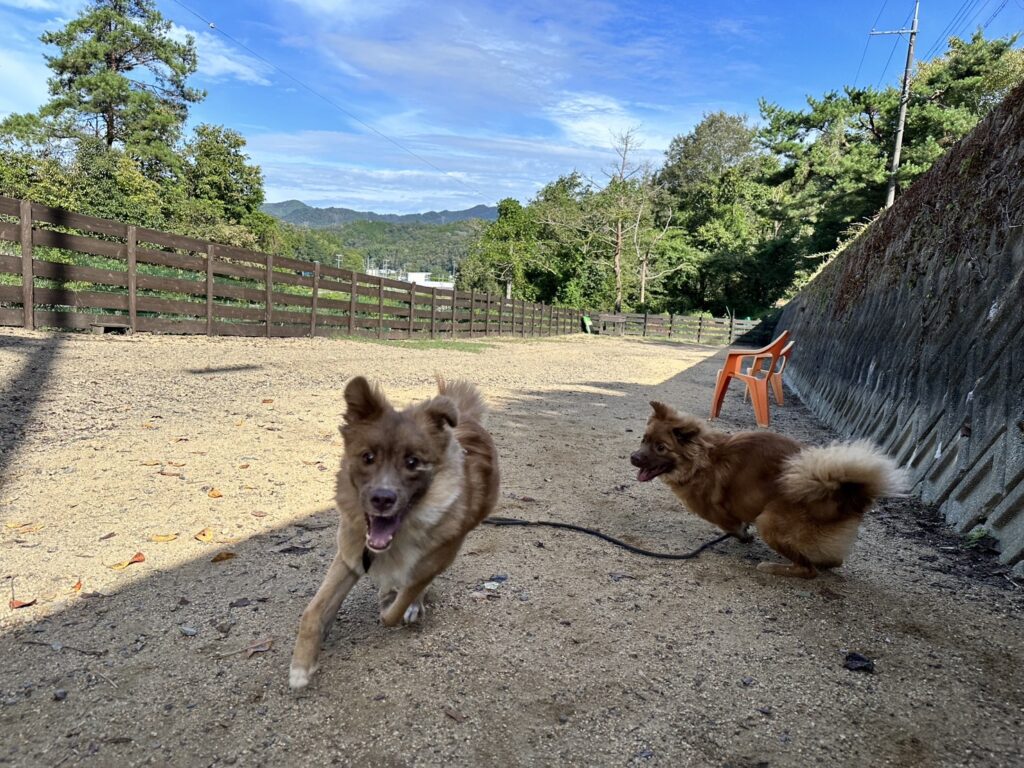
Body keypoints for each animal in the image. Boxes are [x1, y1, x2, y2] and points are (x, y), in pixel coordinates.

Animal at [289, 376, 499, 689]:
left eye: (412, 462)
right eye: (368, 457)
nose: (382, 498)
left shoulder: (433, 561)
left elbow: (399, 605)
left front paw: (398, 605)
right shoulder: (350, 556)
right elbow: (313, 610)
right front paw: (302, 665)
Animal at [630, 401, 904, 578]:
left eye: (661, 447)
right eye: (644, 440)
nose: (633, 458)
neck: (702, 460)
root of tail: (845, 495)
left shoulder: (719, 513)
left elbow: (734, 526)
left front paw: (743, 536)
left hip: (769, 522)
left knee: (808, 571)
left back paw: (774, 568)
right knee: (832, 560)